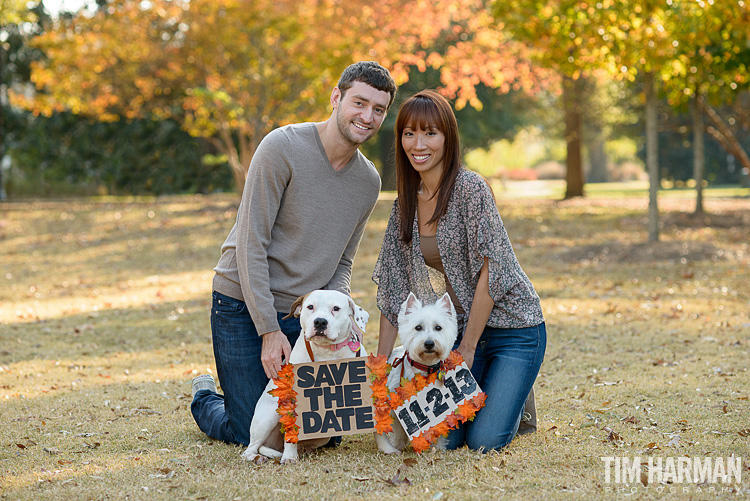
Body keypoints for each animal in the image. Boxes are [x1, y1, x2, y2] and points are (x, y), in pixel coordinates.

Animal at [244, 288, 402, 462]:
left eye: (336, 308)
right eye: (310, 307)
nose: (320, 322)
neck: (327, 352)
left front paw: (387, 448)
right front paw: (290, 457)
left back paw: (306, 449)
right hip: (268, 416)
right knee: (251, 448)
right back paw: (258, 456)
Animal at [376, 292, 458, 452]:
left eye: (438, 327)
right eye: (418, 327)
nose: (429, 343)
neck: (425, 366)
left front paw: (437, 446)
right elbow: (401, 426)